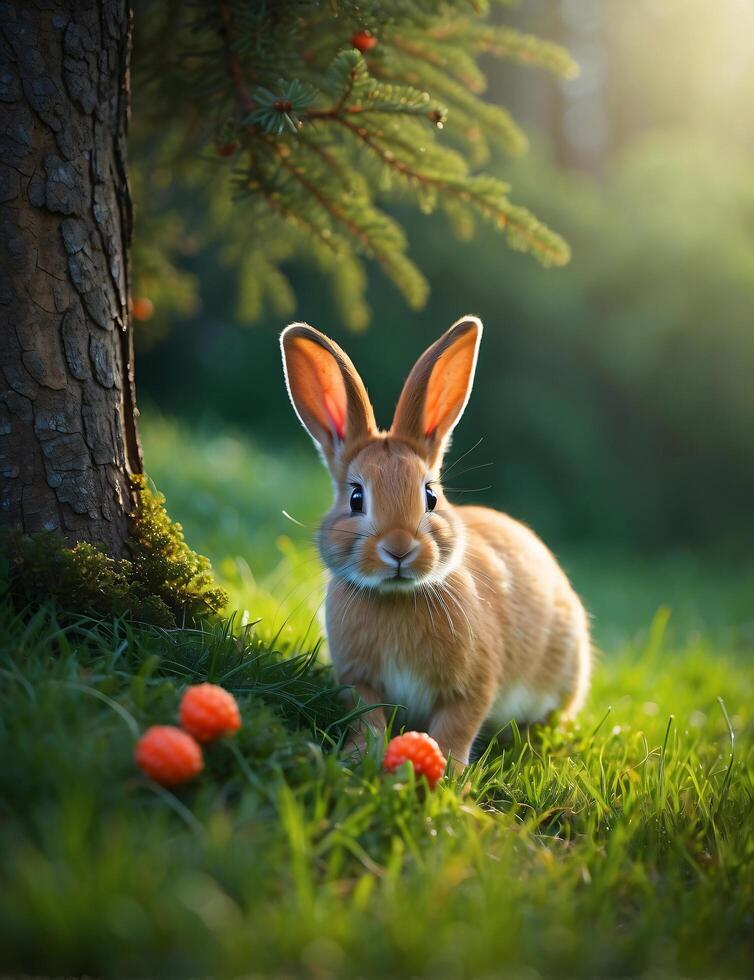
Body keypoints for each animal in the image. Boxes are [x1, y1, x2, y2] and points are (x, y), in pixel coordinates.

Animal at [280, 314, 592, 764]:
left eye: (431, 496)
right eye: (356, 498)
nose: (398, 549)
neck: (396, 597)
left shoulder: (472, 686)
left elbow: (457, 726)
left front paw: (449, 769)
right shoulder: (359, 682)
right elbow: (366, 719)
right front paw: (360, 756)